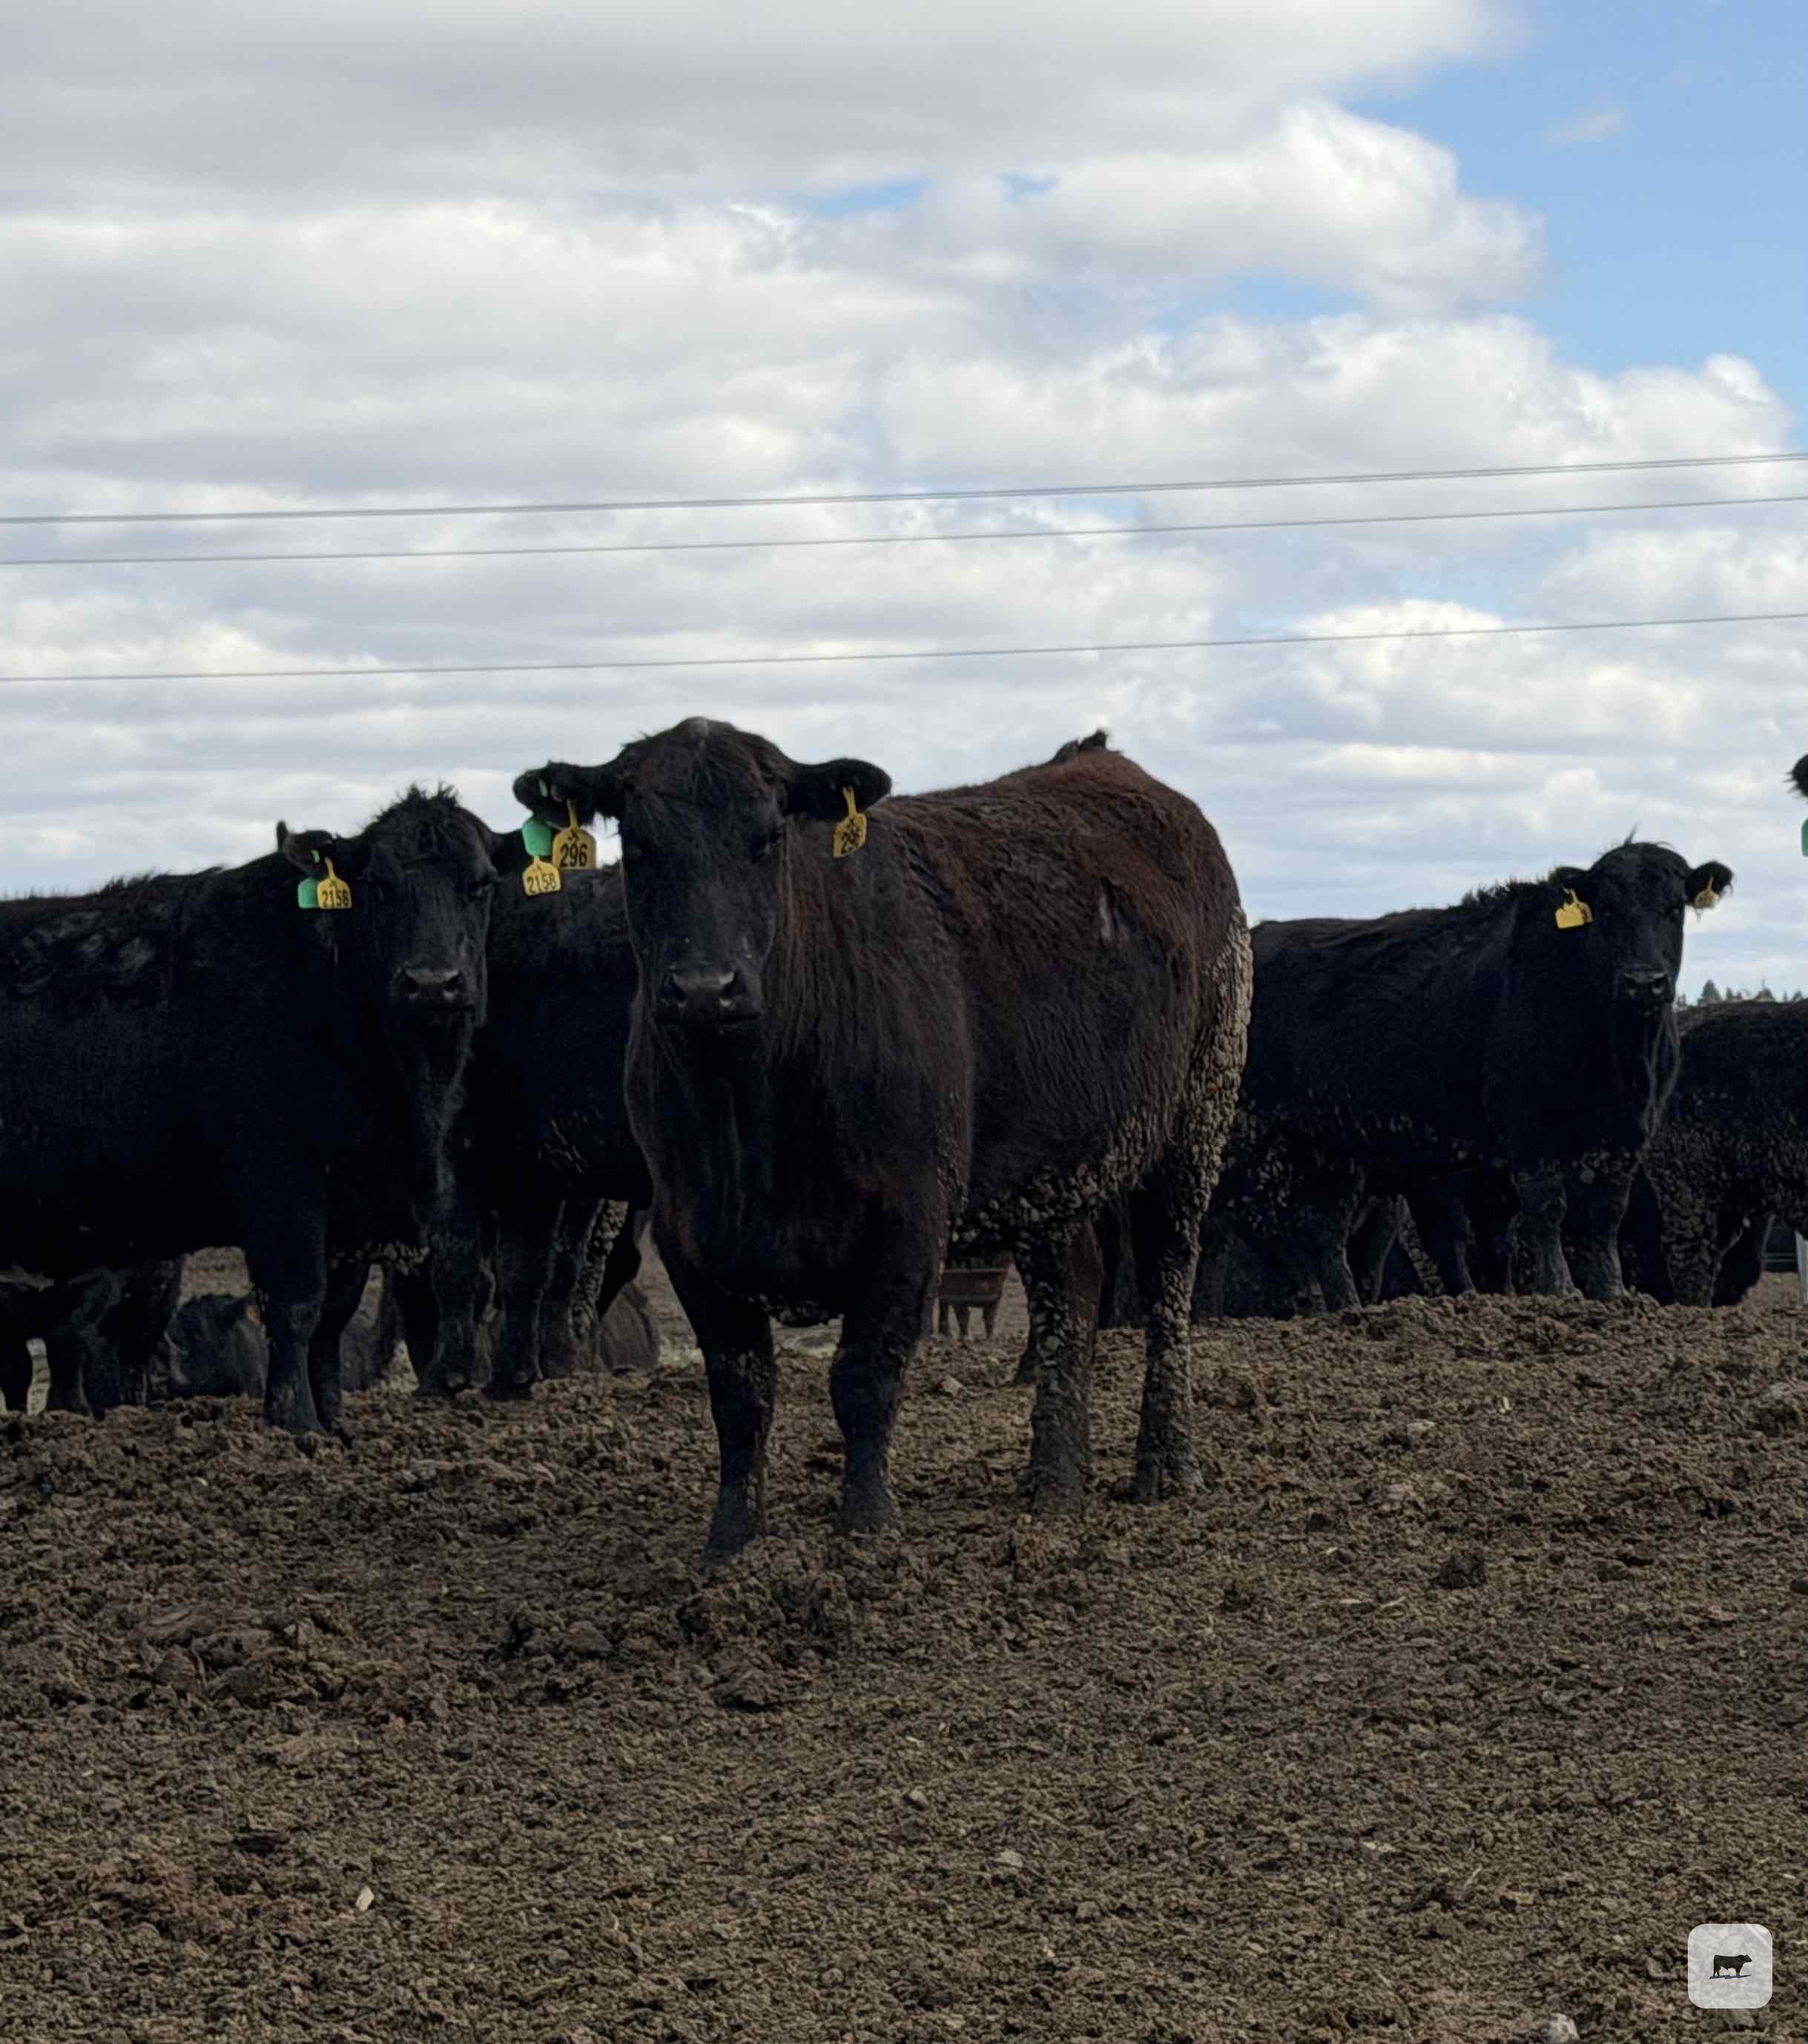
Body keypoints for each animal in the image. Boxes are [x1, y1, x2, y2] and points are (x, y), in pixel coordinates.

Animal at [0, 788, 497, 1436]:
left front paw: (334, 1425)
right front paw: (296, 1424)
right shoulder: (283, 1191)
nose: (434, 983)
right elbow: (297, 1307)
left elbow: (332, 1321)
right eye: (379, 885)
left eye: (481, 885)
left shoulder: (349, 1214)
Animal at [515, 720, 1251, 1558]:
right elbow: (740, 1391)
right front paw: (732, 1541)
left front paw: (866, 1530)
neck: (749, 1117)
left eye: (768, 836)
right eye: (638, 843)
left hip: (1196, 1118)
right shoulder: (686, 1230)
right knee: (1069, 1292)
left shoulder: (909, 1219)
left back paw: (1166, 1461)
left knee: (1166, 1287)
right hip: (1054, 1169)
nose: (706, 989)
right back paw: (1053, 1481)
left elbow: (863, 1374)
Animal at [1209, 841, 1732, 1308]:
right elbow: (1546, 1210)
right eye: (1605, 910)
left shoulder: (1628, 1132)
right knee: (1221, 1221)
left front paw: (1614, 1294)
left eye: (1672, 909)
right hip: (1248, 1131)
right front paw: (1560, 1291)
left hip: (1330, 1148)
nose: (1644, 982)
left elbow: (1605, 1216)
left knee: (1324, 1230)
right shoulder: (1528, 1128)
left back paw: (1345, 1309)